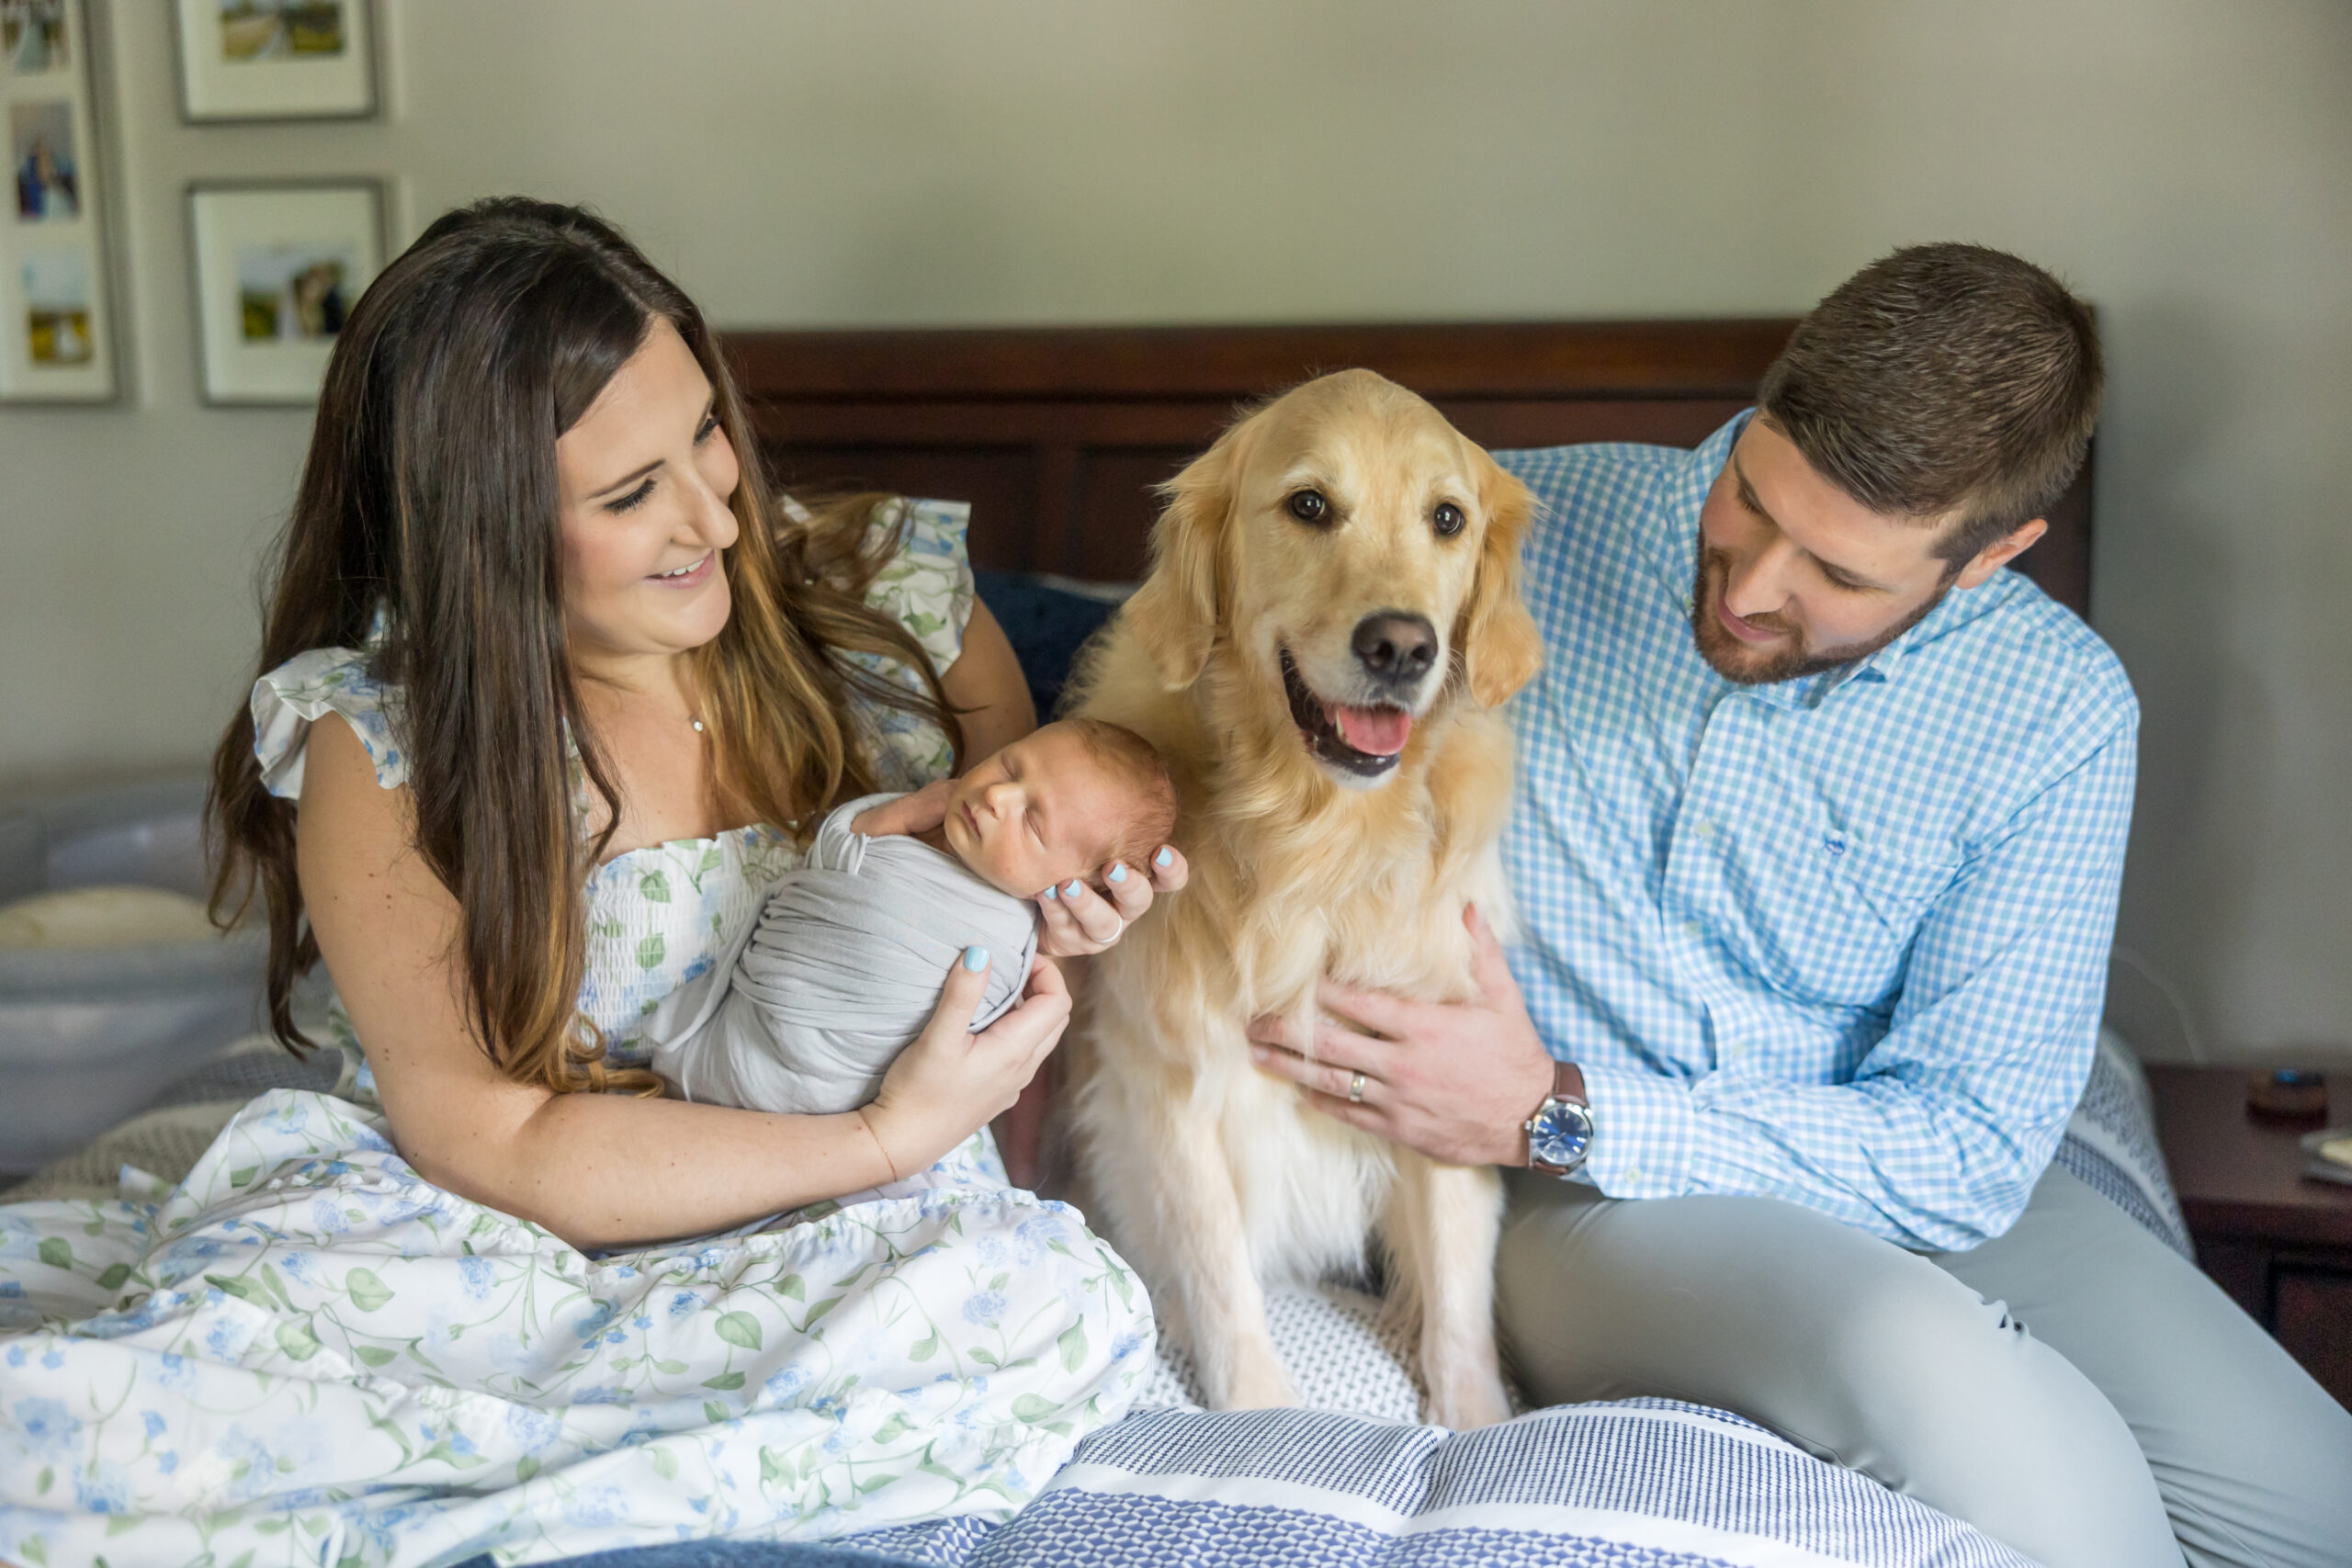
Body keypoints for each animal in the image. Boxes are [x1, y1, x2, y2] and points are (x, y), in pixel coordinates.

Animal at [1068, 371, 1543, 1438]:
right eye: (1310, 506)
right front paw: (1257, 1416)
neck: (1319, 837)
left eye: (1447, 518)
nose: (1401, 645)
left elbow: (1458, 1288)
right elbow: (1216, 1269)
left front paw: (1475, 1419)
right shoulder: (1170, 1077)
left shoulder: (1444, 1071)